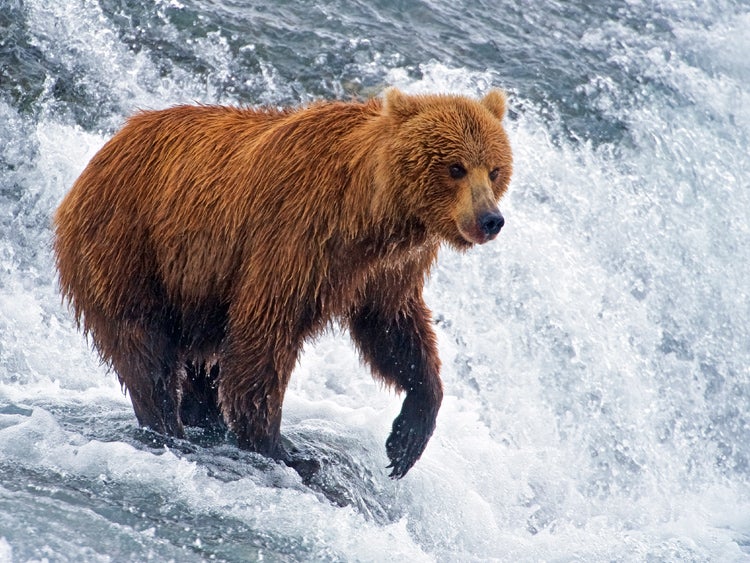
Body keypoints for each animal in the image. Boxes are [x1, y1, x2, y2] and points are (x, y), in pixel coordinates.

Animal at [53, 89, 512, 480]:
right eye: (455, 167)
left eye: (495, 169)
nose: (490, 219)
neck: (370, 214)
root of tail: (107, 147)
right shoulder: (297, 235)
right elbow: (265, 334)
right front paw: (282, 448)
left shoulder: (388, 270)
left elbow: (395, 331)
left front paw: (406, 438)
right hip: (129, 247)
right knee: (145, 350)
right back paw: (168, 426)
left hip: (196, 292)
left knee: (204, 364)